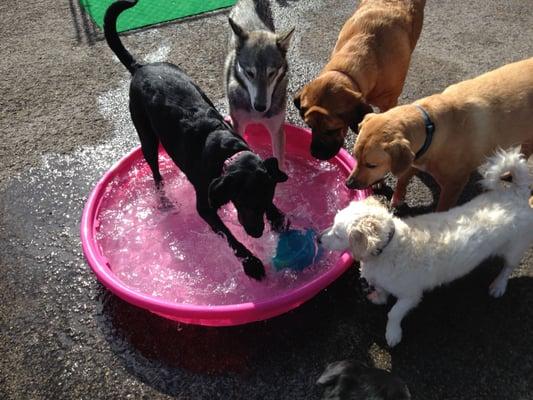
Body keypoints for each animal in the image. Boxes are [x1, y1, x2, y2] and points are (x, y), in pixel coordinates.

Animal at [103, 0, 286, 280]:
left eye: (265, 200)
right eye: (245, 202)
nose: (256, 233)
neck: (227, 155)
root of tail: (141, 67)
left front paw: (277, 216)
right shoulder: (206, 207)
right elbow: (230, 237)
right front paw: (251, 262)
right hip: (145, 134)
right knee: (155, 171)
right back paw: (164, 201)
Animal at [318, 148, 532, 346]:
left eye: (337, 234)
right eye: (332, 223)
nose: (318, 239)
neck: (387, 248)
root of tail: (517, 194)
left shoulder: (410, 296)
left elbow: (394, 313)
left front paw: (392, 333)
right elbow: (382, 290)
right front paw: (379, 297)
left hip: (515, 248)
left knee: (508, 268)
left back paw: (498, 286)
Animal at [348, 58, 532, 212]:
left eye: (372, 165)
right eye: (355, 157)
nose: (349, 184)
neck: (431, 126)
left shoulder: (454, 185)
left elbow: (442, 207)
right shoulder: (415, 156)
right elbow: (402, 179)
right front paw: (397, 199)